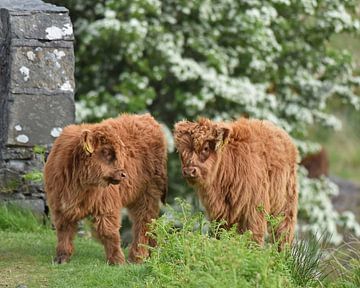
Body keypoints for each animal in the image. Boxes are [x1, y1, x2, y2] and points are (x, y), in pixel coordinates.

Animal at [44, 113, 167, 264]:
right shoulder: (60, 207)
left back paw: (137, 257)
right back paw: (151, 255)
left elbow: (108, 232)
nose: (123, 174)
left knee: (144, 222)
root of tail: (147, 117)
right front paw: (62, 257)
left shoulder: (106, 206)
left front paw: (117, 261)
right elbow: (64, 231)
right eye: (106, 151)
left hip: (148, 194)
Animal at [174, 118, 298, 249]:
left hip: (286, 203)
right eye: (182, 151)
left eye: (206, 148)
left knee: (283, 230)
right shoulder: (219, 212)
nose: (189, 171)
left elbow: (253, 234)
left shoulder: (254, 208)